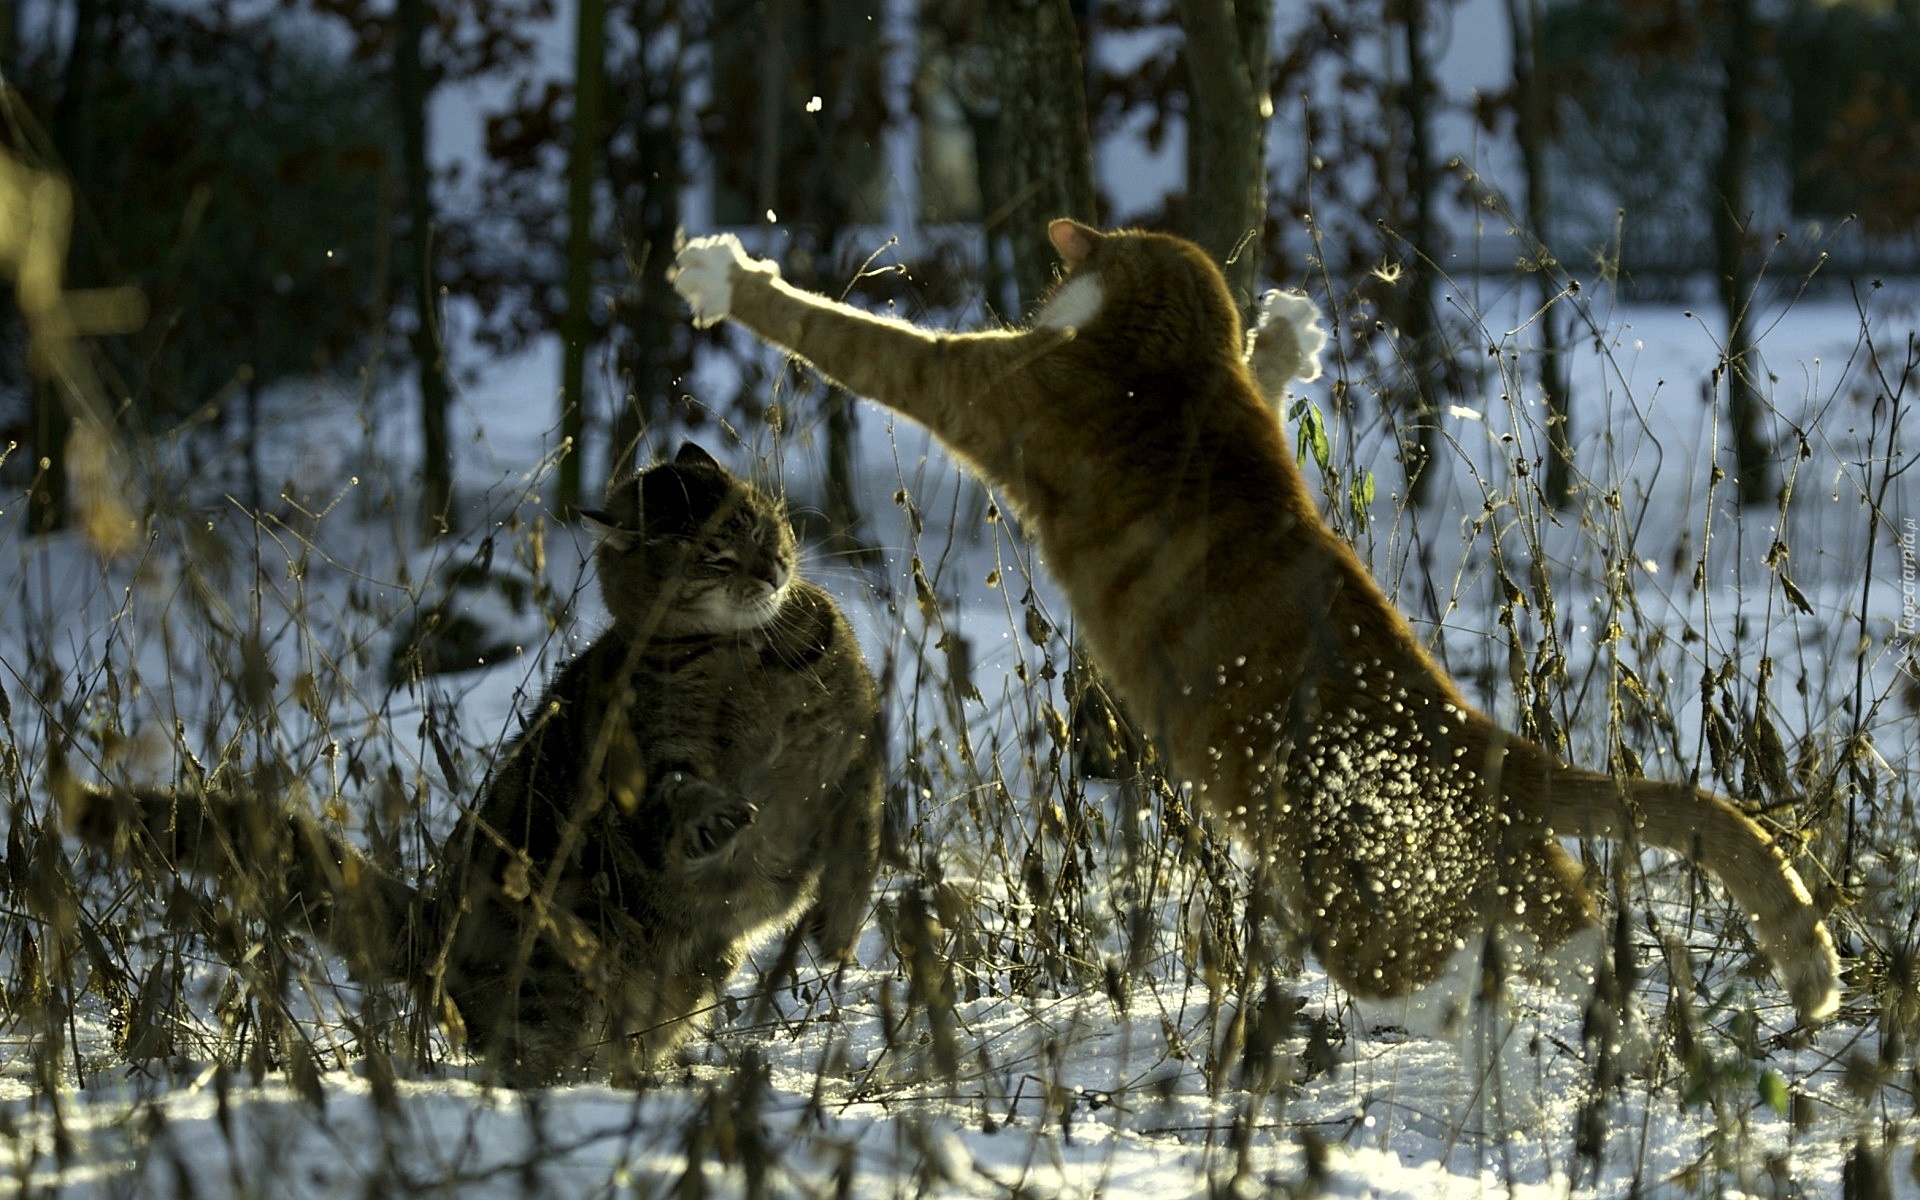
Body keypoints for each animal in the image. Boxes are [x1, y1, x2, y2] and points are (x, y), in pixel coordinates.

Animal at [72, 445, 883, 1082]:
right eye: (714, 552)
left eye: (761, 525)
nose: (773, 566)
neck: (746, 659)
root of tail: (432, 922)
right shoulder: (652, 759)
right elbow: (682, 794)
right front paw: (715, 823)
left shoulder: (857, 748)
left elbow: (862, 837)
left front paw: (839, 925)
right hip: (558, 978)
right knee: (544, 1061)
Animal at [668, 219, 1835, 1021]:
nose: (1044, 289)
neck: (1174, 356)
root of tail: (1498, 747)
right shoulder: (1241, 402)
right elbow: (1267, 373)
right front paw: (1290, 329)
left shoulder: (986, 385)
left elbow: (848, 335)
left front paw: (727, 276)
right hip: (1503, 878)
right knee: (1581, 938)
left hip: (1350, 885)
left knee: (1434, 969)